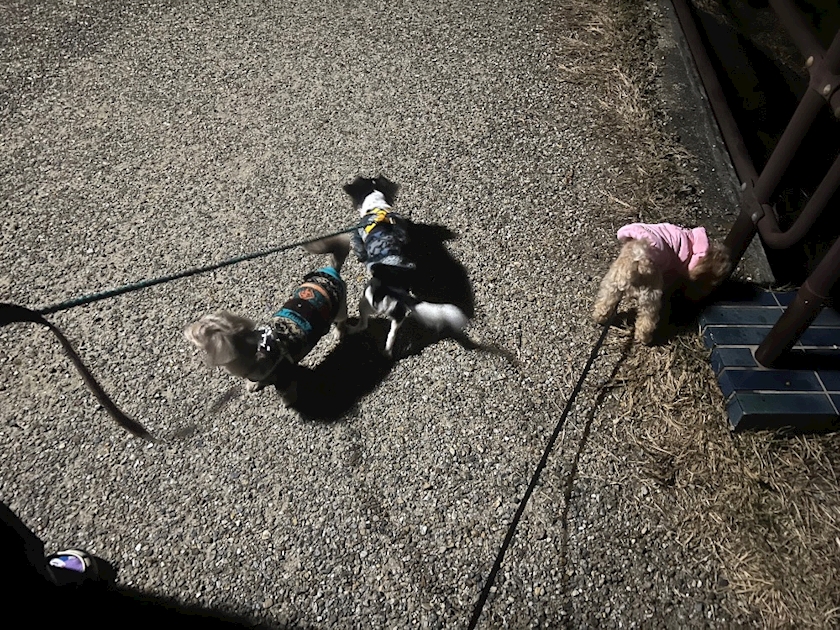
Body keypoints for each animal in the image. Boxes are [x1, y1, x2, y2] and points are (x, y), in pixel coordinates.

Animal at [184, 235, 350, 404]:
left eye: (196, 332)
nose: (186, 329)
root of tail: (331, 271)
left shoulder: (286, 373)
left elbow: (288, 389)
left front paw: (288, 400)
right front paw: (254, 384)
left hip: (340, 309)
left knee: (342, 320)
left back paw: (338, 333)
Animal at [343, 175, 468, 356]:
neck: (377, 207)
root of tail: (392, 288)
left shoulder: (359, 240)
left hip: (365, 302)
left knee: (364, 324)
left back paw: (352, 329)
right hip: (396, 312)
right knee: (393, 330)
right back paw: (387, 352)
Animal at [592, 222, 731, 344]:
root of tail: (640, 261)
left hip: (612, 285)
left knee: (604, 304)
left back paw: (599, 318)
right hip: (651, 298)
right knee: (646, 322)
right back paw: (645, 339)